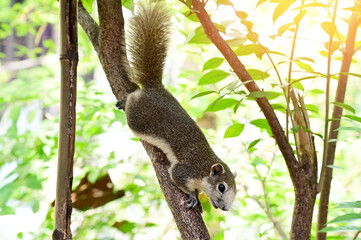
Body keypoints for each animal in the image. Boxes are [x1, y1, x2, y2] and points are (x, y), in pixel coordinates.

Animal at [116, 2, 236, 212]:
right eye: (221, 187)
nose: (225, 208)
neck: (204, 169)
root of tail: (155, 88)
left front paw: (198, 198)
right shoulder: (185, 171)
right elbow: (177, 178)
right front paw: (193, 196)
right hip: (139, 118)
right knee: (132, 104)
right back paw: (126, 101)